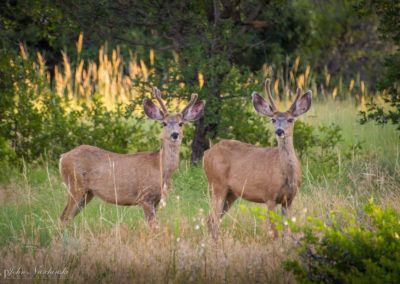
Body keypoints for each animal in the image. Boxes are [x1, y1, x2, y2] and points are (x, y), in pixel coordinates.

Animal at [58, 87, 206, 225]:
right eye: (164, 123)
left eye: (181, 123)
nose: (174, 134)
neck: (160, 169)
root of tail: (63, 157)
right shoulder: (145, 197)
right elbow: (153, 227)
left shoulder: (157, 199)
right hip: (75, 185)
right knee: (62, 217)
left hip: (87, 193)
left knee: (67, 218)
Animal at [203, 79, 312, 239]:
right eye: (273, 119)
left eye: (290, 119)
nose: (279, 131)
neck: (286, 175)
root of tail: (206, 153)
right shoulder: (269, 196)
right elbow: (275, 231)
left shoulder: (289, 200)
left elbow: (287, 231)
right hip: (217, 184)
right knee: (213, 218)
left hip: (232, 193)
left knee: (213, 218)